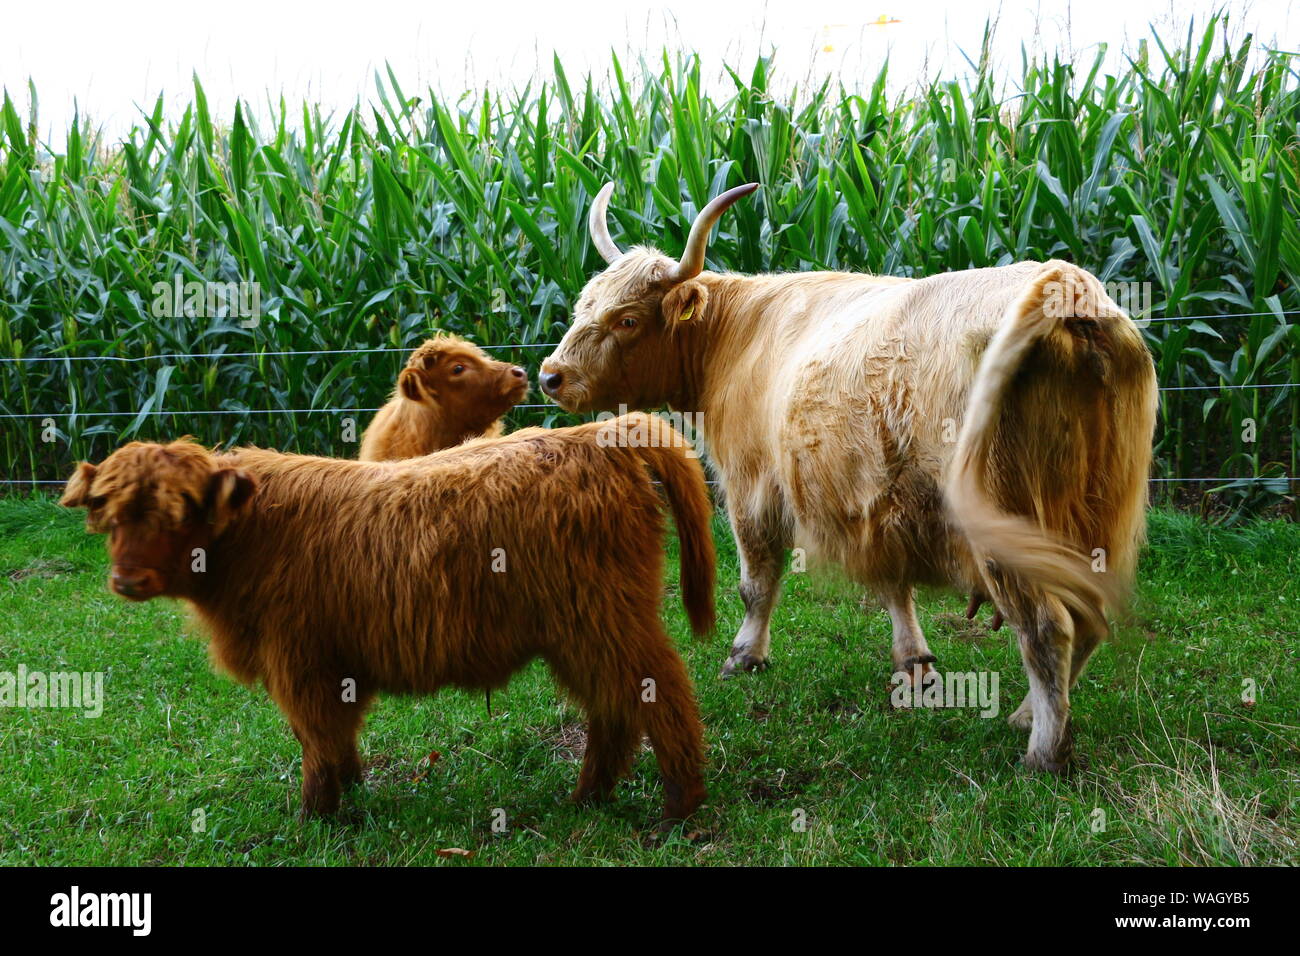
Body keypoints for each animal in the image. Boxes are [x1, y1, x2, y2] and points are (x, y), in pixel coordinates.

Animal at [61, 416, 717, 827]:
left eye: (179, 513)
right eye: (109, 513)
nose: (128, 581)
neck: (246, 538)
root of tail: (597, 436)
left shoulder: (300, 663)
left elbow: (316, 738)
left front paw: (315, 817)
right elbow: (332, 738)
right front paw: (349, 788)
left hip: (601, 618)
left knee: (660, 691)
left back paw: (678, 808)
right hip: (580, 631)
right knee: (612, 709)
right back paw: (586, 799)